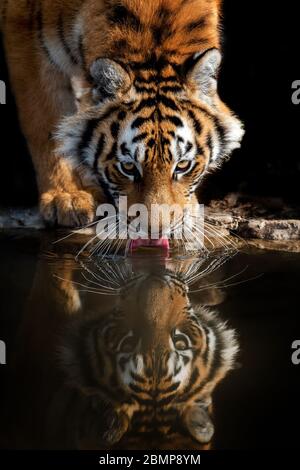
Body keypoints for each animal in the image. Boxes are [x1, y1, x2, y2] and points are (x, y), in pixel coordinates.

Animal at [0, 0, 244, 242]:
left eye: (183, 165)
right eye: (128, 167)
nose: (156, 231)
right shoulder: (26, 33)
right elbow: (47, 125)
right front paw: (66, 196)